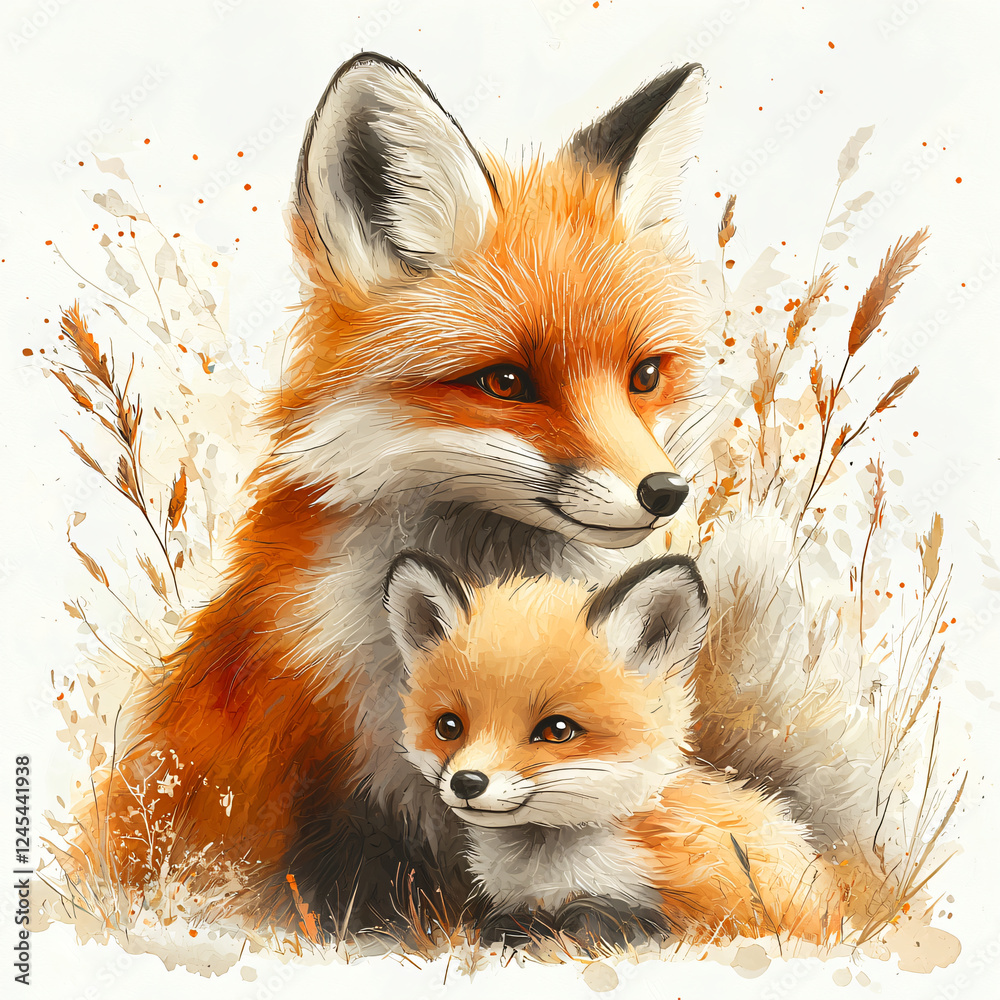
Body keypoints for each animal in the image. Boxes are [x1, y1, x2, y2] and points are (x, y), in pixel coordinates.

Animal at [387, 550, 852, 946]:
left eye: (557, 730)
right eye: (449, 726)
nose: (467, 782)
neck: (547, 874)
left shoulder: (686, 911)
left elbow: (603, 926)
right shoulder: (514, 907)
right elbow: (505, 928)